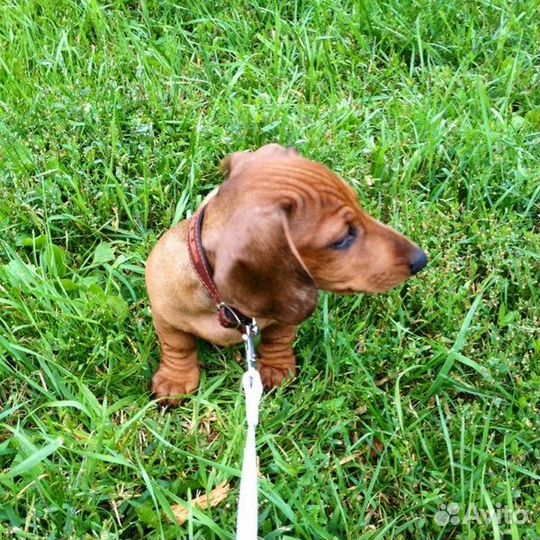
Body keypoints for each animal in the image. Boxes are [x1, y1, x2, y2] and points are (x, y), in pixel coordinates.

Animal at [146, 141, 428, 402]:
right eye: (341, 239)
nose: (421, 260)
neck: (226, 305)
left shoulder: (284, 316)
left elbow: (279, 338)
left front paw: (277, 367)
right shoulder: (165, 315)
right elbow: (178, 345)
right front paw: (176, 379)